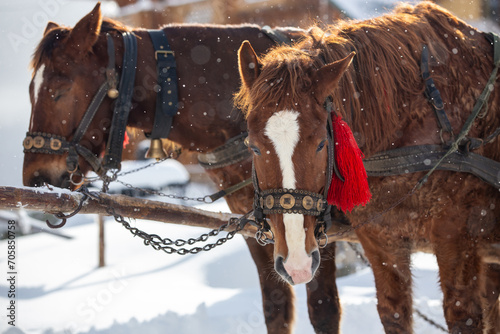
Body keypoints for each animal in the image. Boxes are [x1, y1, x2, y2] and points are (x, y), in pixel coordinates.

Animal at [23, 3, 344, 334]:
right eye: (31, 90)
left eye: (60, 89)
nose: (34, 177)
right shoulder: (258, 231)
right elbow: (275, 307)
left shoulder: (318, 232)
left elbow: (323, 309)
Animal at [236, 2, 500, 334]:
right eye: (253, 146)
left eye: (321, 144)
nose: (296, 263)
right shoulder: (381, 242)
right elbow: (394, 311)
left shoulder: (457, 237)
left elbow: (463, 313)